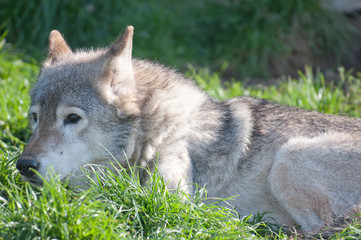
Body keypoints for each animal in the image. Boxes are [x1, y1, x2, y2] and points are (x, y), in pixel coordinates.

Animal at [17, 25, 361, 232]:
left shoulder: (173, 202)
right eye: (35, 117)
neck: (151, 133)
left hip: (288, 158)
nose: (23, 165)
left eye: (72, 118)